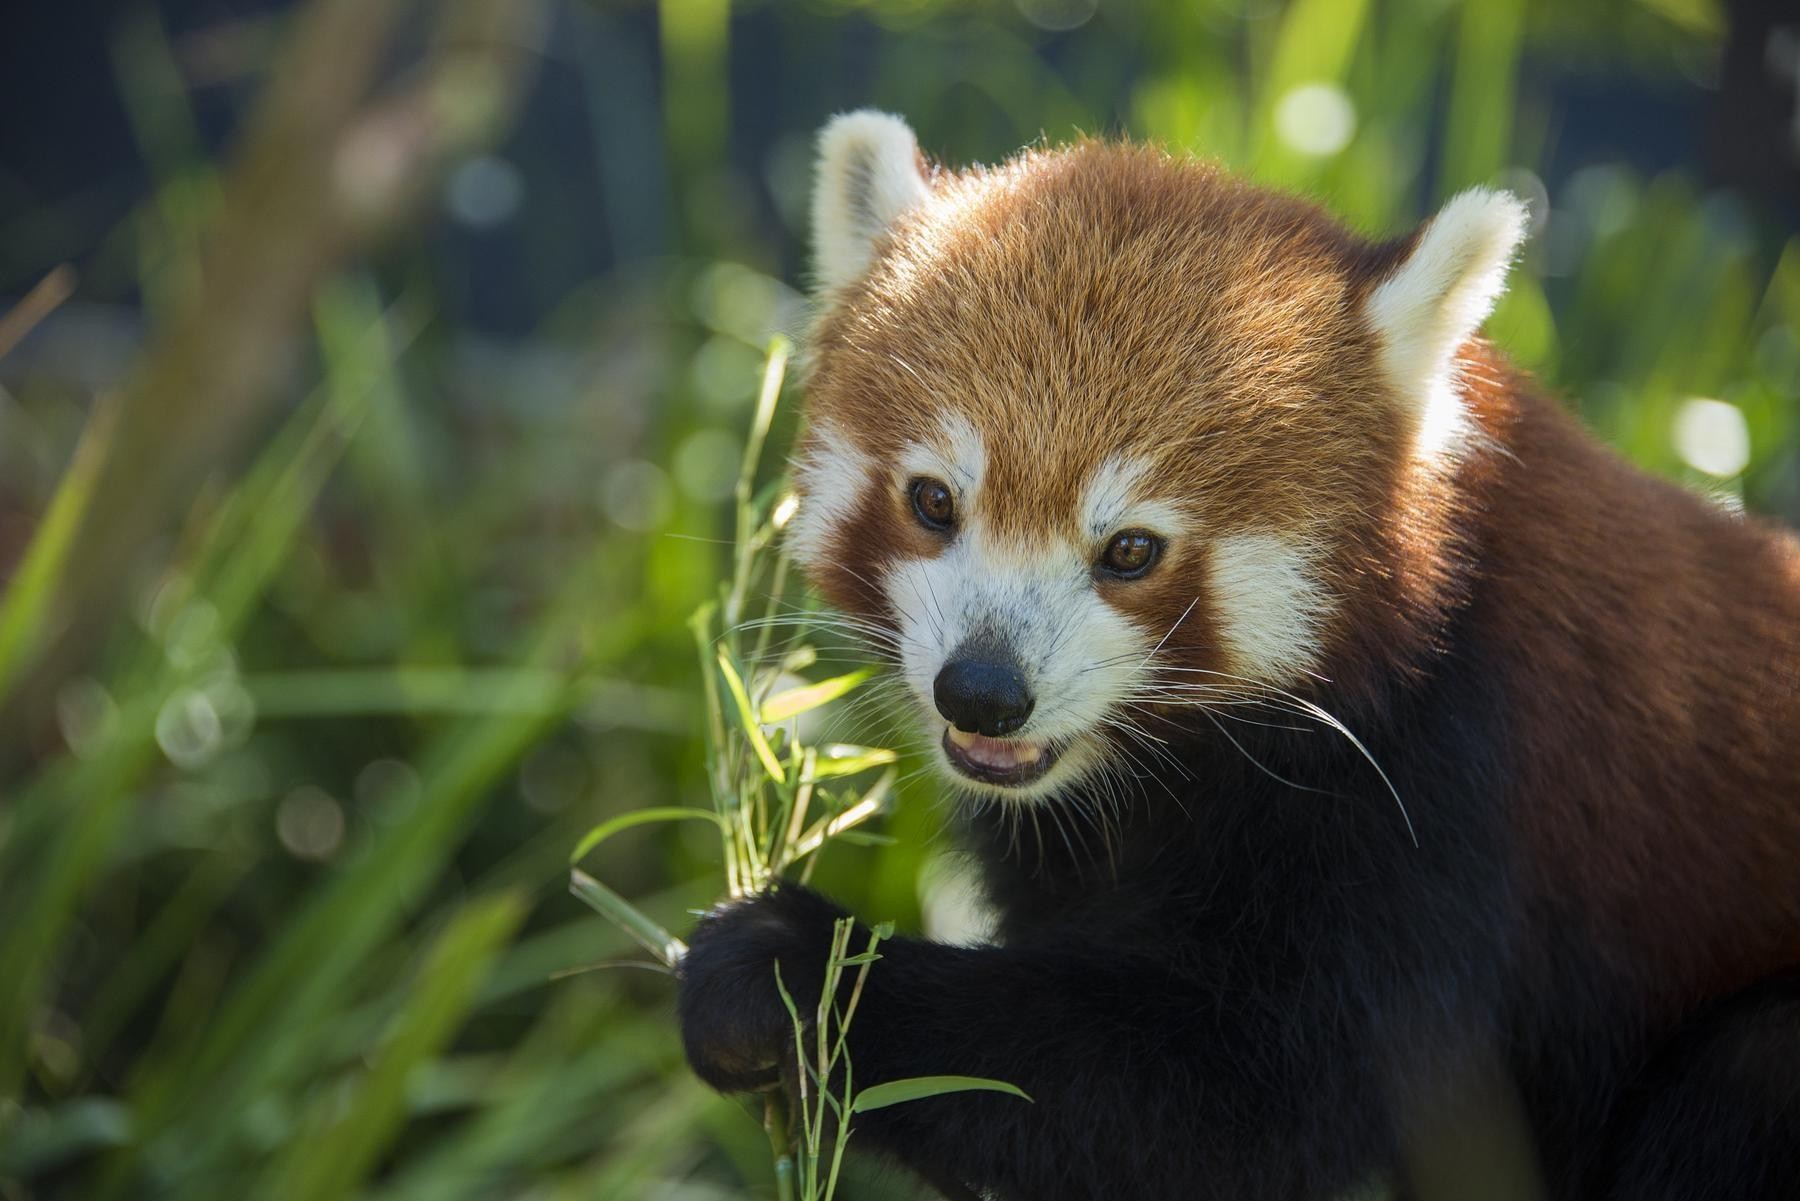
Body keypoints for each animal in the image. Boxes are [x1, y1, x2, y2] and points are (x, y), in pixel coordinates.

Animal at [676, 112, 1800, 1201]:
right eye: (933, 500)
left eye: (1131, 549)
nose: (984, 692)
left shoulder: (1451, 792)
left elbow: (1243, 1096)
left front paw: (788, 974)